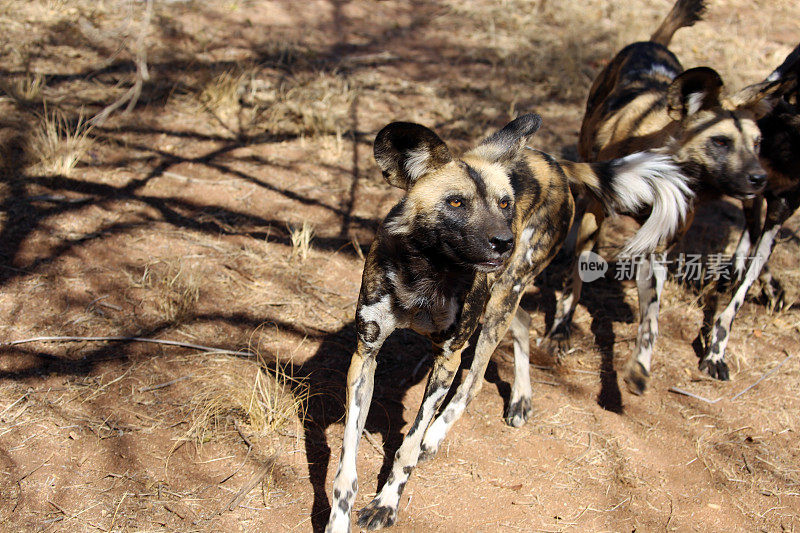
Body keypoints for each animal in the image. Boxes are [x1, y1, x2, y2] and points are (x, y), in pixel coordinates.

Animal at [326, 111, 692, 528]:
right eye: (456, 202)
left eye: (504, 203)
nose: (505, 241)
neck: (424, 273)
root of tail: (554, 162)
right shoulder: (366, 355)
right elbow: (346, 465)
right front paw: (338, 519)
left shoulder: (448, 358)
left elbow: (408, 446)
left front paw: (387, 502)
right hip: (498, 300)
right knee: (523, 323)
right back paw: (520, 397)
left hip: (503, 294)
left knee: (475, 381)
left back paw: (447, 430)